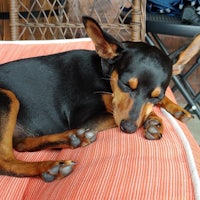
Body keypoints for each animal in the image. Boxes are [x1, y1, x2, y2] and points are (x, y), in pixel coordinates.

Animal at [0, 16, 192, 181]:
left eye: (156, 95)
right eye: (125, 84)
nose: (129, 129)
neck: (104, 71)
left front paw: (172, 112)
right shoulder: (84, 119)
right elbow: (115, 113)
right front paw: (153, 118)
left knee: (21, 144)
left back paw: (72, 139)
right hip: (7, 97)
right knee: (6, 160)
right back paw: (51, 166)